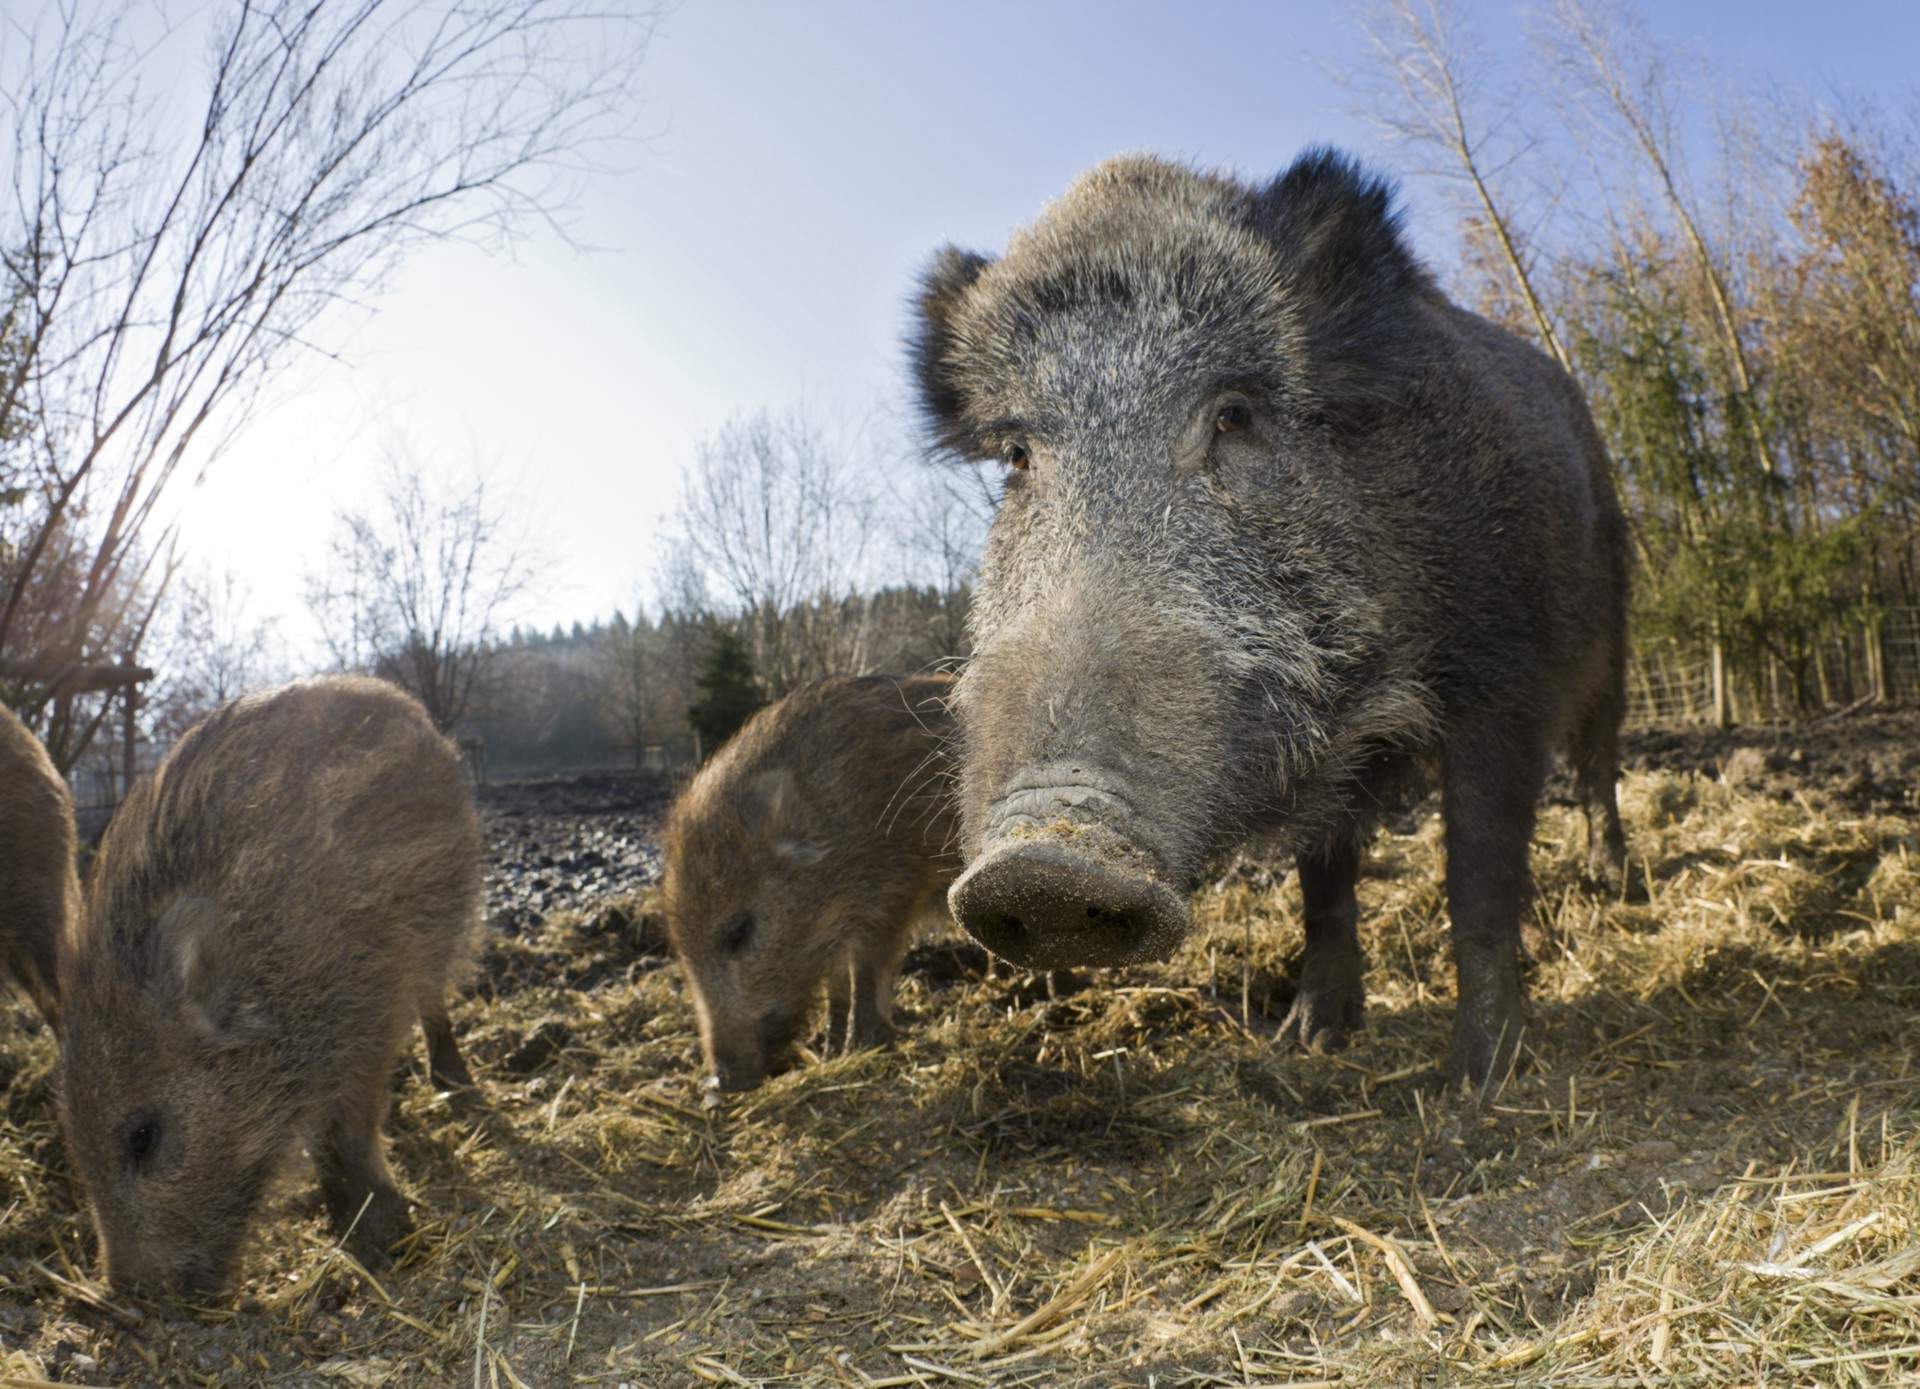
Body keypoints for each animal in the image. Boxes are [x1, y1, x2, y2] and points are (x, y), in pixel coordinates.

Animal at [58, 676, 483, 1296]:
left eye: (142, 1135)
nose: (124, 1294)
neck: (269, 973)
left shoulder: (369, 1006)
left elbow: (347, 1125)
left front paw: (382, 1236)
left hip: (448, 916)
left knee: (436, 1001)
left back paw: (455, 1086)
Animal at [664, 673, 958, 1093]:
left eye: (739, 931)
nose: (720, 1083)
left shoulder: (892, 896)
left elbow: (868, 974)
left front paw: (863, 1048)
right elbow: (837, 985)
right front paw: (831, 1051)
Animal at [910, 150, 1629, 1090]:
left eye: (1234, 415)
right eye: (1020, 457)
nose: (1040, 866)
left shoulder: (1501, 676)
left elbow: (1476, 875)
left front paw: (1477, 1079)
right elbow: (1322, 883)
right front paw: (1309, 1037)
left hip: (1615, 616)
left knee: (1599, 760)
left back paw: (1612, 879)